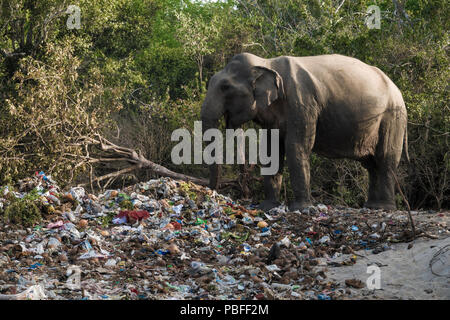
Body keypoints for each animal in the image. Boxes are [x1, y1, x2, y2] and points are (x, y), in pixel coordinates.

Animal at [200, 52, 408, 211]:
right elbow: (271, 151)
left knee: (385, 158)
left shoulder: (302, 103)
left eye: (225, 87)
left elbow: (296, 147)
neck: (267, 63)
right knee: (371, 164)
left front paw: (300, 208)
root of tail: (397, 89)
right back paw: (371, 206)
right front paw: (268, 206)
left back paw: (384, 207)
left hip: (392, 117)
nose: (211, 192)